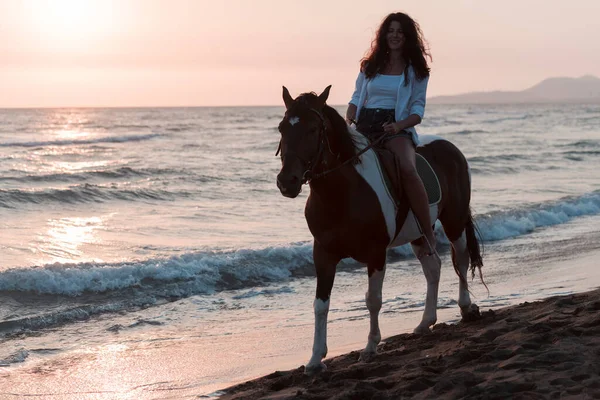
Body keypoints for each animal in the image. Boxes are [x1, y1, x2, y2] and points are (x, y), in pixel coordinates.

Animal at [276, 84, 482, 376]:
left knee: (460, 260)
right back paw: (425, 322)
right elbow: (320, 305)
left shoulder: (376, 253)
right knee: (433, 268)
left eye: (313, 129)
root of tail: (450, 148)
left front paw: (370, 347)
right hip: (420, 232)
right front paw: (315, 360)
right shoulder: (323, 254)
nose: (287, 182)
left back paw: (465, 308)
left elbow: (373, 299)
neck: (342, 193)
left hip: (454, 220)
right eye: (282, 128)